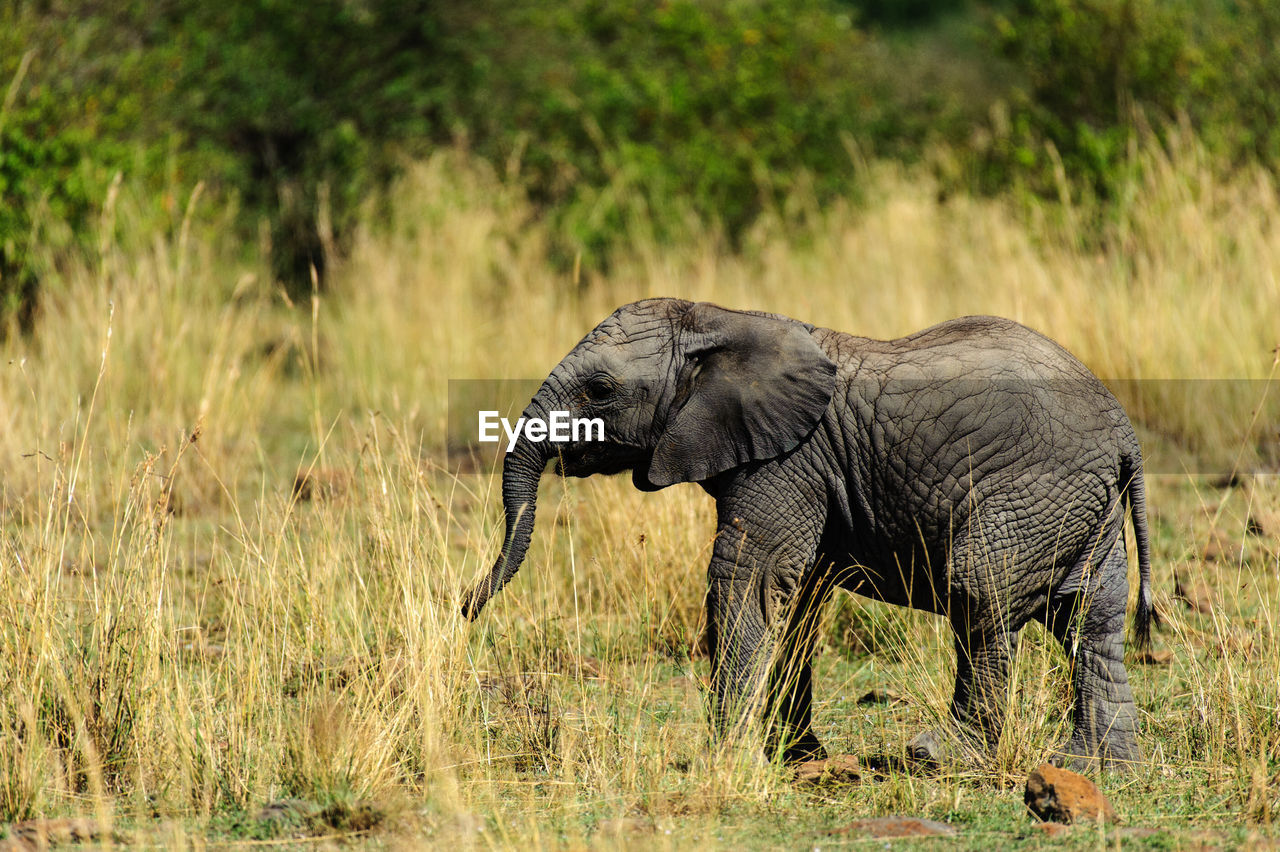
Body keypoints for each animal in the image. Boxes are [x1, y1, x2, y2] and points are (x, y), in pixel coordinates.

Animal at [458, 296, 1152, 767]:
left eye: (600, 388)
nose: (464, 604)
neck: (719, 319)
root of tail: (1125, 432)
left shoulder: (789, 460)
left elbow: (749, 579)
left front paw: (727, 758)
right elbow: (799, 598)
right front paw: (794, 756)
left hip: (1028, 493)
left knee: (982, 601)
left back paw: (941, 756)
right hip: (1082, 508)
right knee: (1092, 620)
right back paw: (1097, 765)